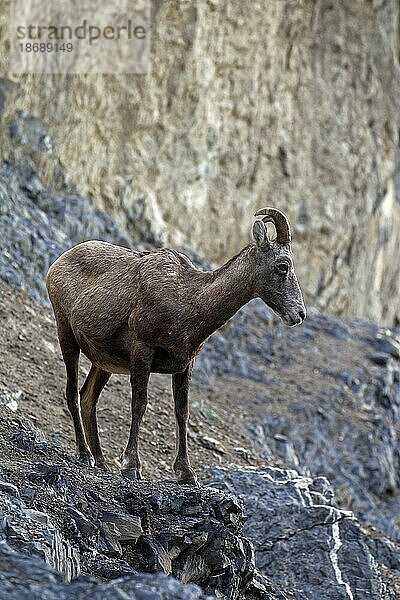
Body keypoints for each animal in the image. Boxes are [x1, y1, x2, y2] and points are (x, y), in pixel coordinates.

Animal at [47, 206, 304, 482]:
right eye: (283, 266)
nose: (299, 314)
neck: (187, 300)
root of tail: (58, 264)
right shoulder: (143, 349)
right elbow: (140, 403)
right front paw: (131, 466)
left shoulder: (185, 364)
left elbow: (182, 412)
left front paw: (186, 473)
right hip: (66, 335)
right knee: (72, 393)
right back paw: (85, 456)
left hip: (104, 362)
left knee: (87, 398)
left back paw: (101, 462)